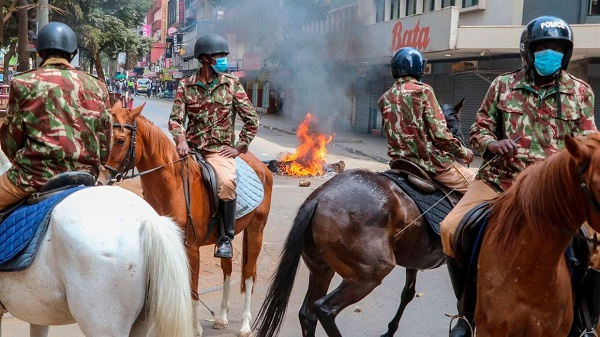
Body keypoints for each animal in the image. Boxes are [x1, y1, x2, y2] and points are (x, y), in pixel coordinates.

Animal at [253, 100, 468, 336]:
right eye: (453, 126)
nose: (466, 149)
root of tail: (318, 199)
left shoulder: (415, 257)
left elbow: (408, 293)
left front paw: (390, 330)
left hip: (321, 268)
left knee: (307, 313)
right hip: (369, 274)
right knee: (325, 309)